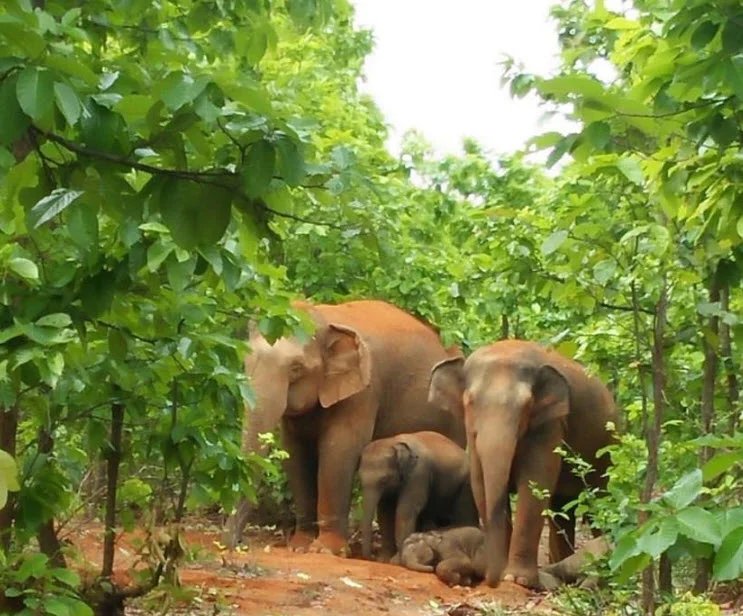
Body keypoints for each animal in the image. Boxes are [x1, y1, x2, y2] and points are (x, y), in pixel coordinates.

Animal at [224, 300, 466, 554]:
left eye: (296, 368)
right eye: (245, 362)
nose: (238, 543)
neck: (323, 318)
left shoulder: (363, 392)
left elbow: (338, 452)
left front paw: (325, 550)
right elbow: (296, 454)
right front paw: (299, 546)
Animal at [358, 431, 479, 560]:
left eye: (384, 480)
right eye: (360, 478)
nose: (370, 557)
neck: (392, 441)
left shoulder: (419, 473)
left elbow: (405, 511)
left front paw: (398, 559)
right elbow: (384, 513)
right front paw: (384, 559)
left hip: (467, 483)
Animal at [429, 339, 616, 589]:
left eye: (527, 404)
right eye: (469, 401)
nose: (490, 580)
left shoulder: (550, 425)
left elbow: (534, 483)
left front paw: (517, 579)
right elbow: (479, 483)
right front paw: (504, 574)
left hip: (607, 450)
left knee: (600, 501)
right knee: (560, 509)